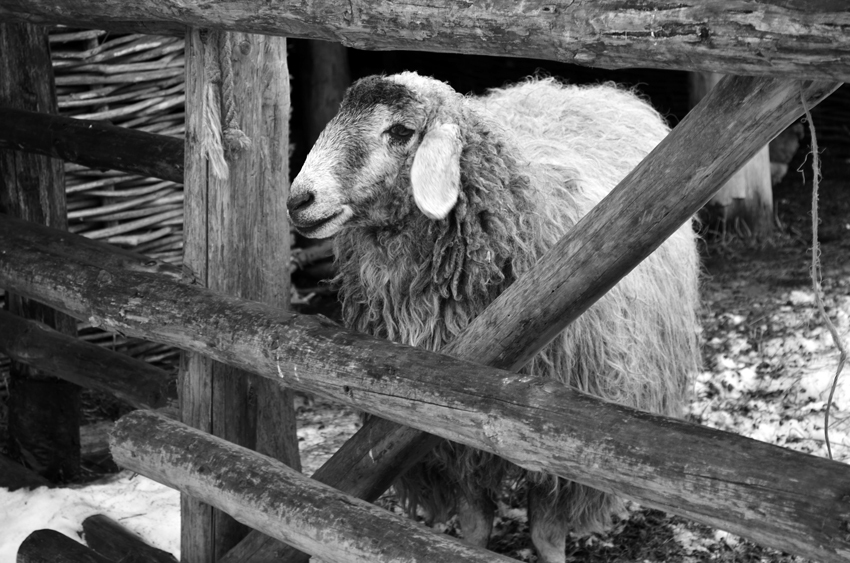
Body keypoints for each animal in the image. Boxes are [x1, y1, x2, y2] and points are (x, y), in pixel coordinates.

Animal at [288, 71, 700, 563]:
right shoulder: (446, 429)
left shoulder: (563, 435)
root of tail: (579, 88)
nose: (298, 199)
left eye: (401, 131)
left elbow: (546, 532)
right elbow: (474, 525)